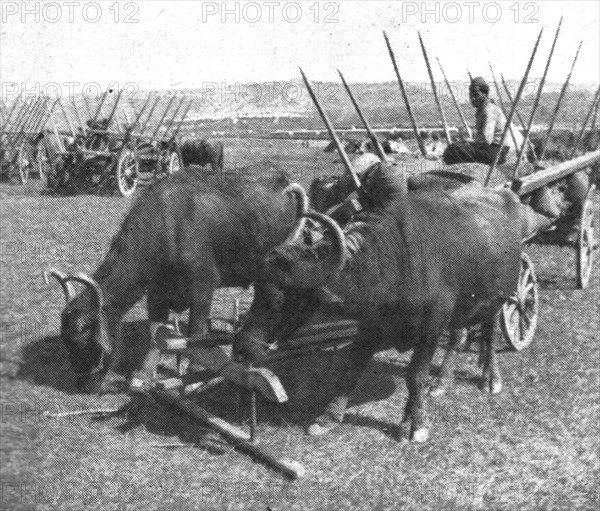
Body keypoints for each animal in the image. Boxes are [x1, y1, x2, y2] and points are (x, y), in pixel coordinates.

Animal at [46, 168, 308, 396]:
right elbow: (156, 333)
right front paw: (143, 374)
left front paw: (192, 376)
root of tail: (282, 180)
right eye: (66, 342)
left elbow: (196, 335)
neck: (169, 227)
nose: (84, 385)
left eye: (89, 341)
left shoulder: (203, 289)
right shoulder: (155, 293)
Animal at [234, 165, 524, 444]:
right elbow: (352, 367)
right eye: (257, 289)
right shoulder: (371, 327)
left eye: (284, 296)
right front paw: (329, 415)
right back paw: (441, 381)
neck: (396, 264)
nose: (242, 346)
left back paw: (490, 378)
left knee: (489, 334)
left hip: (499, 298)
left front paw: (414, 424)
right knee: (457, 336)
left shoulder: (429, 332)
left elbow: (415, 376)